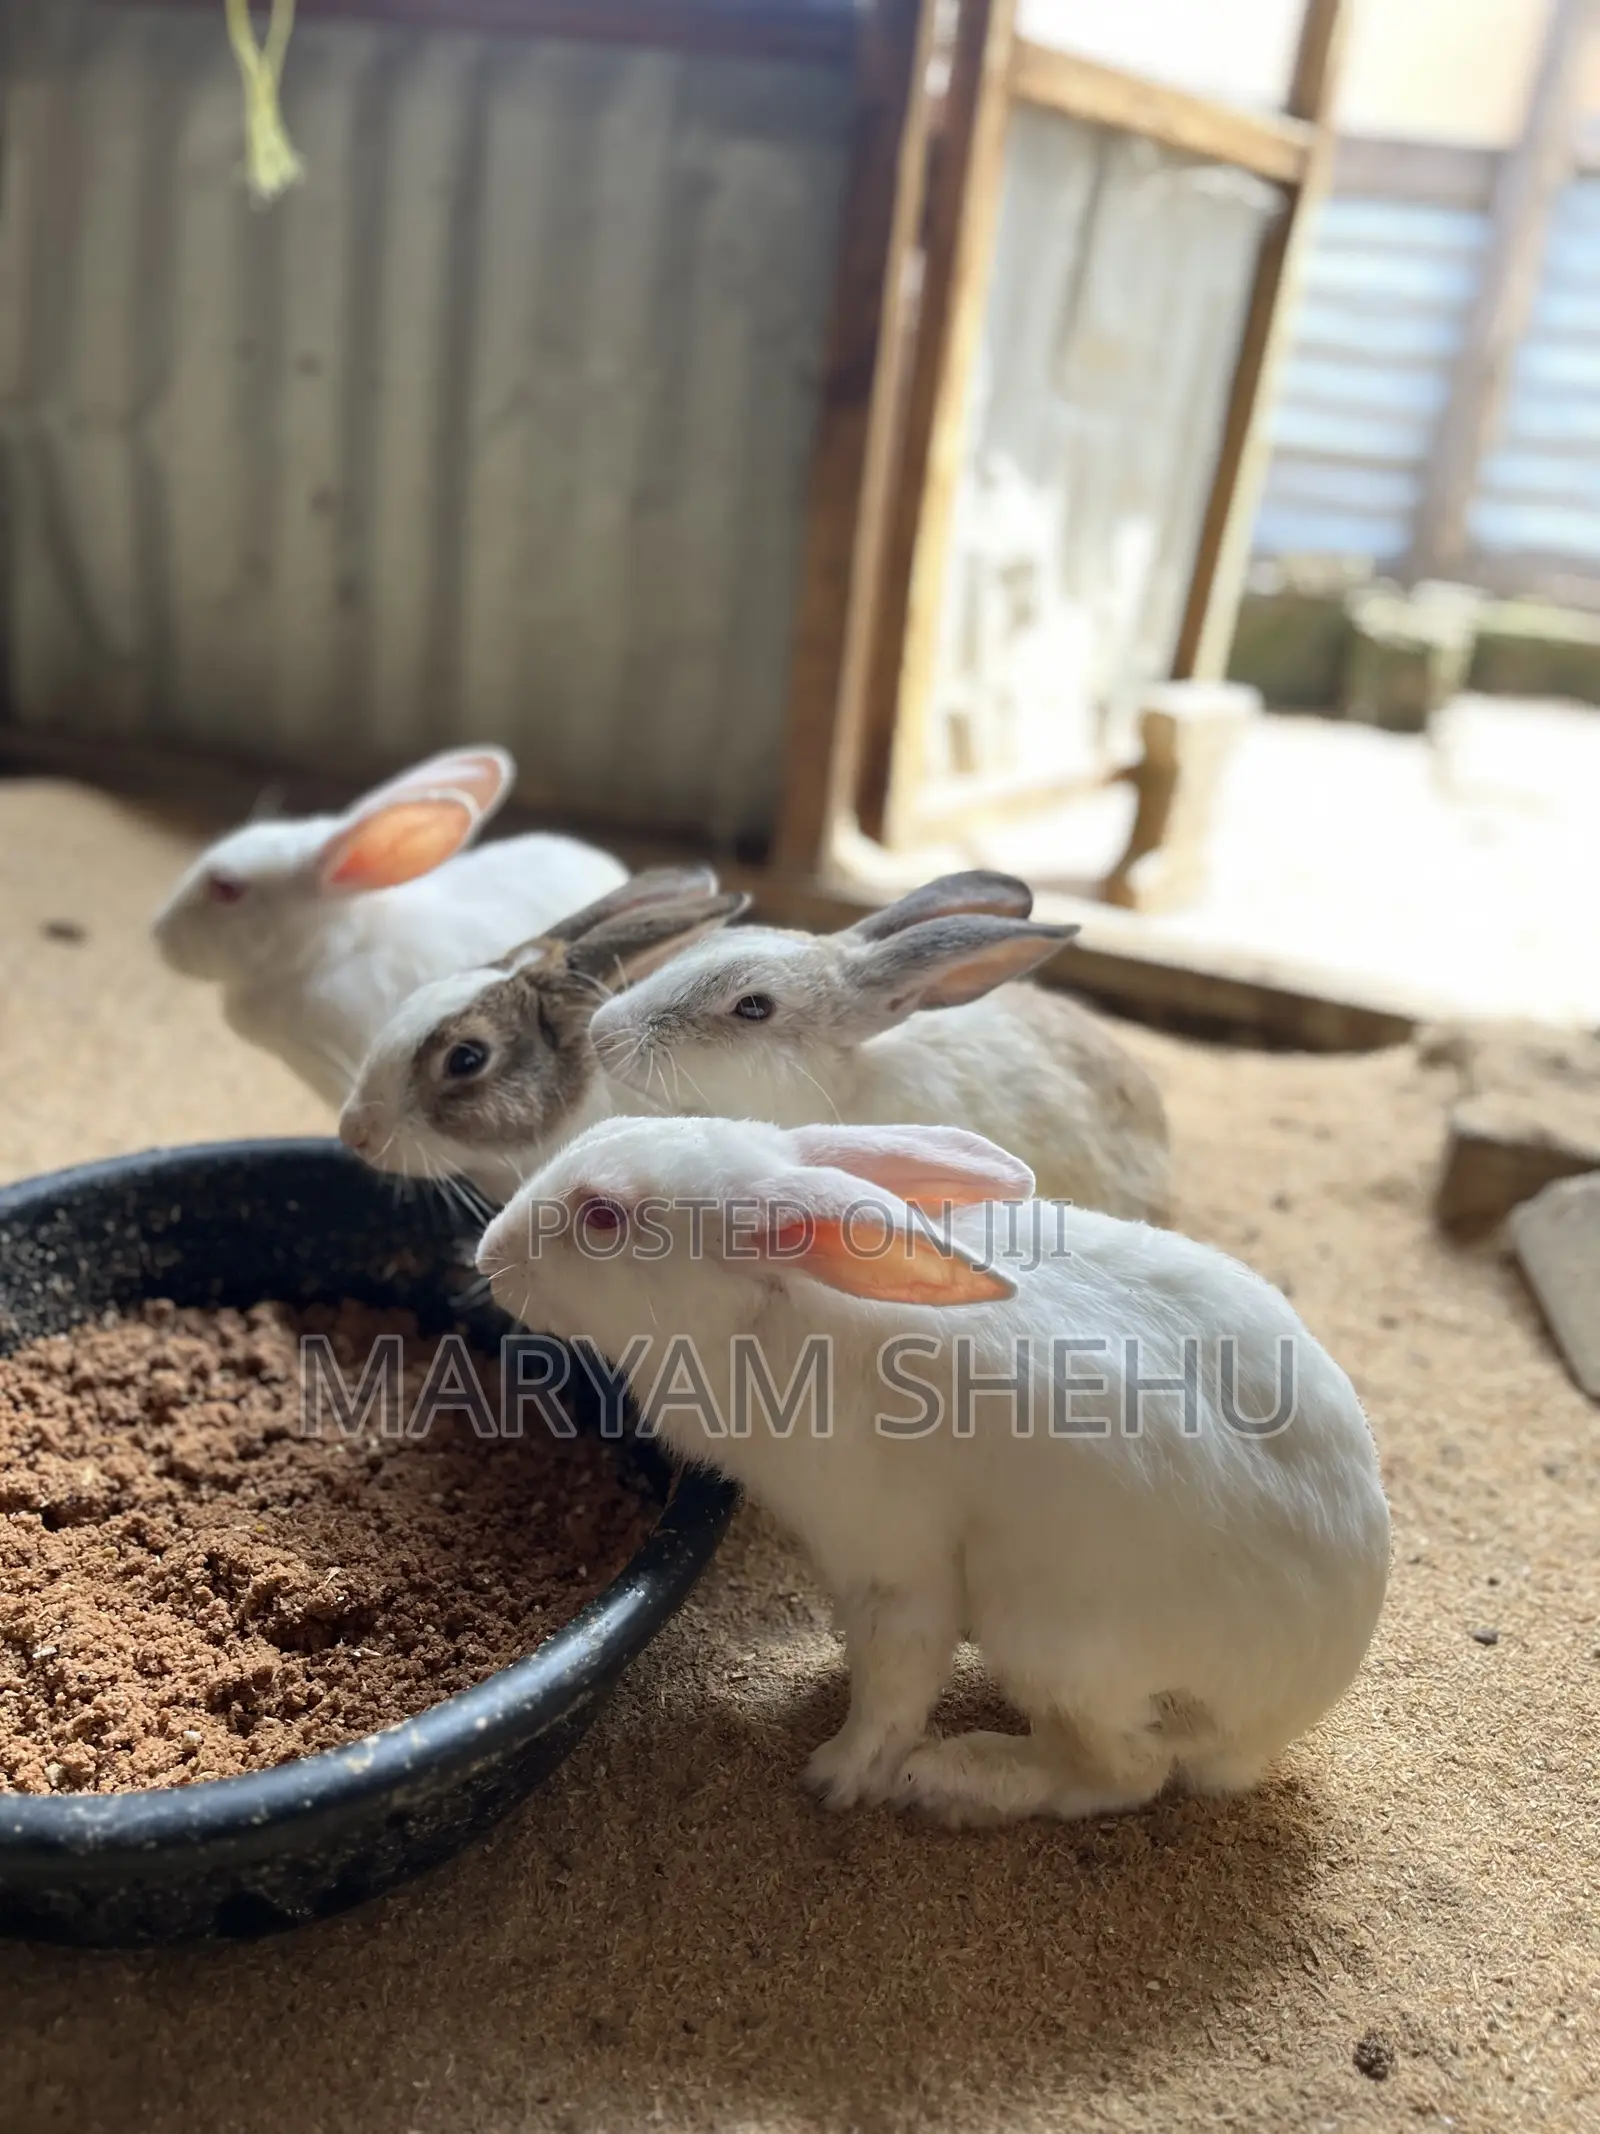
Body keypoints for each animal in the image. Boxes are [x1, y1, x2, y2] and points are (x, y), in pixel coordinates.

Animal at [477, 1113, 1390, 1827]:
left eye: (602, 1217)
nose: (488, 1253)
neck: (772, 1309)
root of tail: (1284, 1714)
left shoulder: (892, 1561)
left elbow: (893, 1678)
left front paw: (838, 1776)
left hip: (1050, 1640)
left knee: (1124, 1774)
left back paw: (952, 1780)